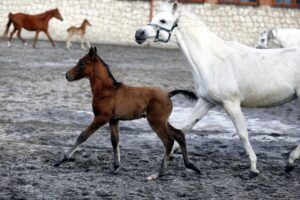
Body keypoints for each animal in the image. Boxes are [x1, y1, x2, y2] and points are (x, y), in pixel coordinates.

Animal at [135, 1, 300, 177]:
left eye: (163, 20)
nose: (138, 33)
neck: (212, 61)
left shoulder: (231, 103)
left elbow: (242, 133)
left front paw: (254, 167)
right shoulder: (206, 101)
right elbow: (185, 127)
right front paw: (172, 155)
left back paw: (290, 161)